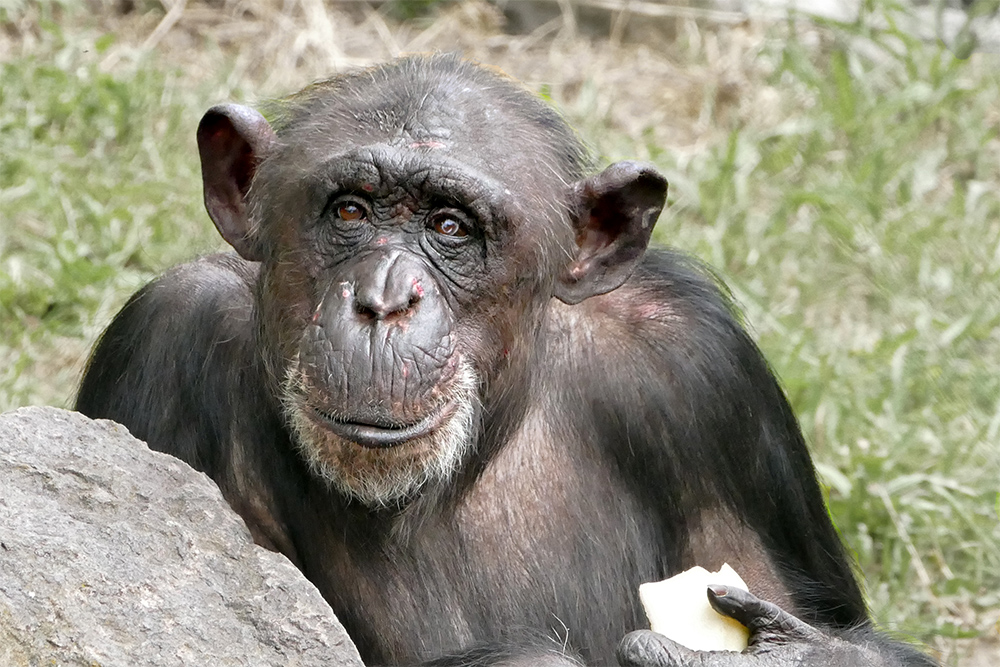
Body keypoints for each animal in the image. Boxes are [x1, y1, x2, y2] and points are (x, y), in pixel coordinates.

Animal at [74, 56, 932, 667]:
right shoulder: (165, 339)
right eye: (350, 209)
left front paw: (795, 654)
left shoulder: (706, 371)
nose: (385, 298)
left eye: (451, 226)